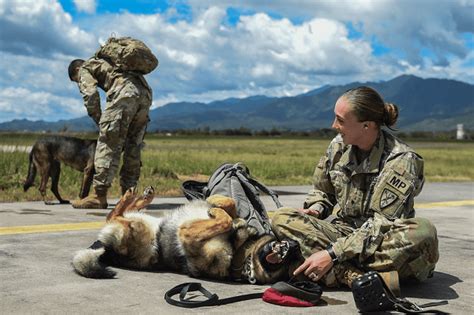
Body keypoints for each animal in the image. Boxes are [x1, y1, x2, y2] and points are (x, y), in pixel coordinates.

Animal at [72, 188, 292, 284]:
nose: (292, 246)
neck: (238, 249)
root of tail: (104, 249)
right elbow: (230, 206)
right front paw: (217, 202)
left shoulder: (187, 233)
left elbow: (225, 220)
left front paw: (216, 211)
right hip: (141, 222)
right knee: (117, 213)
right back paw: (141, 196)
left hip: (135, 228)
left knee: (114, 215)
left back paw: (132, 195)